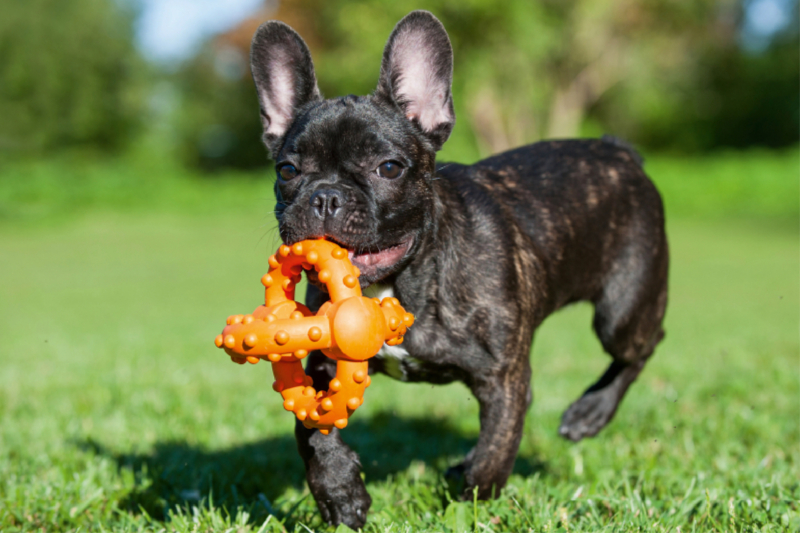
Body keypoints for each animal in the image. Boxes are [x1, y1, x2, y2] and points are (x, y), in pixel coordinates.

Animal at [248, 9, 668, 528]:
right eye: (287, 171)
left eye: (389, 168)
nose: (326, 196)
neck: (402, 284)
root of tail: (620, 151)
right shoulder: (323, 366)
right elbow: (312, 433)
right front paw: (341, 495)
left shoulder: (501, 377)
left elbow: (494, 450)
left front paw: (473, 502)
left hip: (623, 310)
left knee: (639, 347)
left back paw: (589, 413)